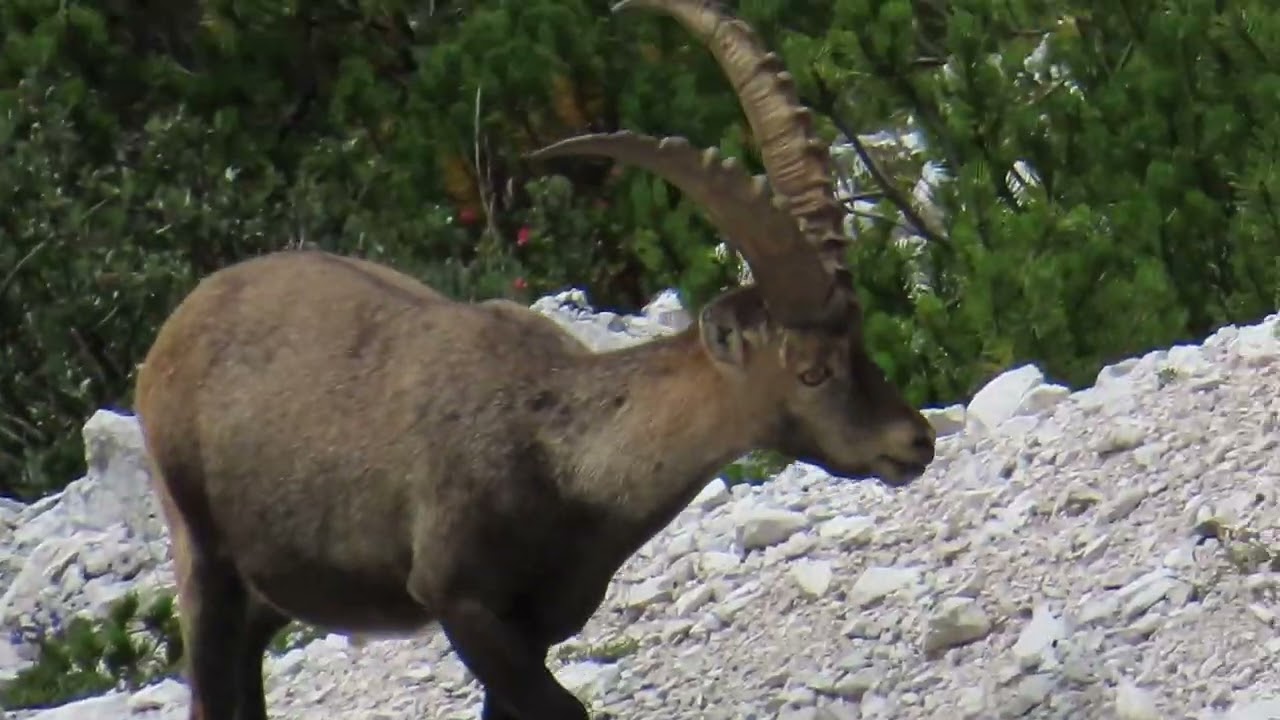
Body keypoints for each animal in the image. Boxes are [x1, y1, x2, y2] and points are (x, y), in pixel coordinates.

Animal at [133, 1, 938, 718]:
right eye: (811, 370)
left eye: (860, 341)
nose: (915, 442)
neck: (560, 453)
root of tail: (178, 325)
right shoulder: (459, 599)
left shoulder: (544, 622)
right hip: (201, 552)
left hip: (272, 587)